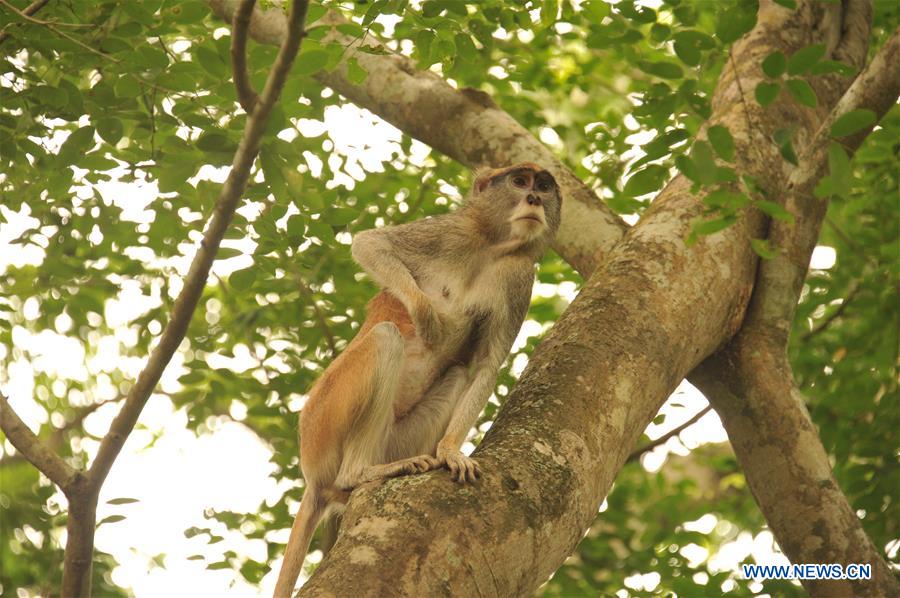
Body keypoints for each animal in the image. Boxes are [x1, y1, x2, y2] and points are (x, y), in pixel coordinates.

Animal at [272, 162, 564, 596]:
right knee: (384, 338)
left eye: (543, 186)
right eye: (519, 181)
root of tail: (313, 477)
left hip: (391, 439)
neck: (490, 246)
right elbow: (370, 244)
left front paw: (451, 452)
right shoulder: (450, 232)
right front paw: (427, 315)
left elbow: (485, 365)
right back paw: (359, 473)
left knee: (456, 373)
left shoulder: (518, 276)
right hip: (324, 419)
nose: (533, 199)